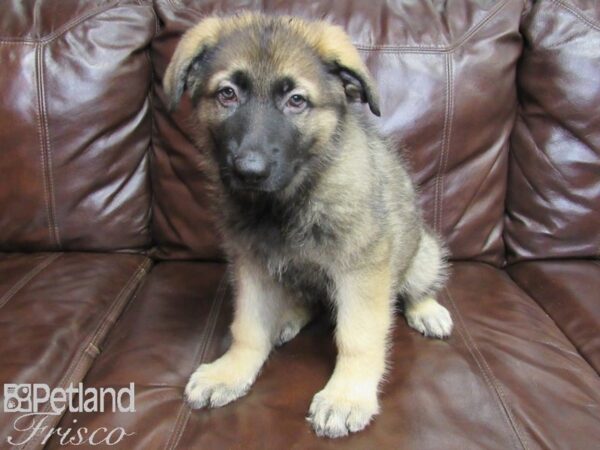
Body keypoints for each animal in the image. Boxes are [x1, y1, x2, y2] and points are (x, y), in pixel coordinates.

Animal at [162, 12, 452, 438]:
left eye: (296, 100)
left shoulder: (362, 270)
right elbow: (247, 326)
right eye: (227, 94)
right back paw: (286, 318)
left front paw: (347, 395)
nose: (249, 171)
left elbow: (358, 335)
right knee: (307, 301)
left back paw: (427, 309)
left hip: (423, 254)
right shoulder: (251, 264)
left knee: (417, 286)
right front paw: (232, 370)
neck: (290, 199)